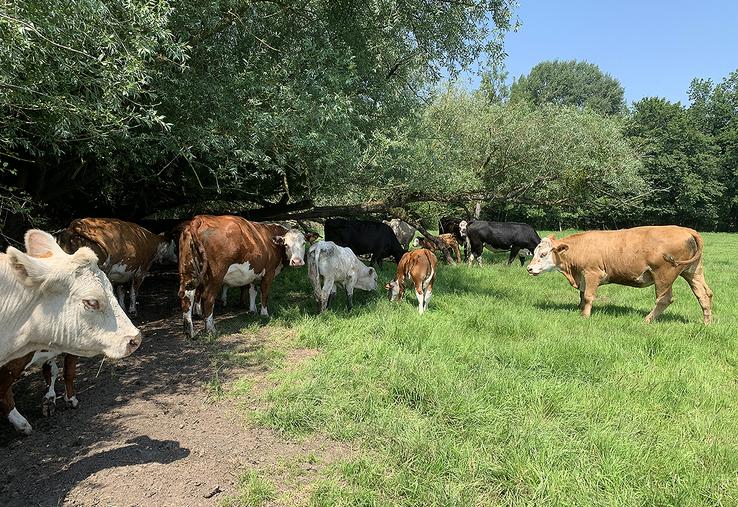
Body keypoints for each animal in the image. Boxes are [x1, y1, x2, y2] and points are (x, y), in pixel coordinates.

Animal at [178, 215, 316, 337]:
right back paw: (211, 329)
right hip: (215, 276)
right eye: (286, 245)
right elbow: (264, 293)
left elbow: (252, 291)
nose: (297, 262)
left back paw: (189, 331)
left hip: (188, 272)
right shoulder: (269, 273)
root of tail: (199, 219)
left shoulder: (253, 273)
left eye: (303, 243)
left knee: (187, 295)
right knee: (207, 298)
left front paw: (252, 310)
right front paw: (264, 314)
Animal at [526, 226, 713, 324]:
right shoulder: (583, 276)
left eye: (543, 254)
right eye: (534, 252)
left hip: (664, 275)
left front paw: (585, 316)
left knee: (664, 300)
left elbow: (587, 296)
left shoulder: (592, 272)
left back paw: (647, 319)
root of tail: (686, 229)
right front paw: (580, 310)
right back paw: (707, 322)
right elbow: (581, 295)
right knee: (704, 295)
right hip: (692, 272)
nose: (529, 269)